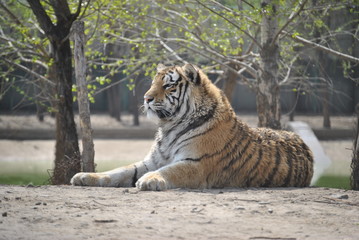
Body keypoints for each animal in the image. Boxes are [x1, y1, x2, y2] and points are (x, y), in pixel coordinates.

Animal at [69, 62, 312, 190]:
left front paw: (149, 180)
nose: (146, 98)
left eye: (168, 86)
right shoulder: (150, 161)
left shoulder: (197, 163)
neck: (168, 128)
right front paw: (84, 176)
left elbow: (171, 170)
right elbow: (119, 171)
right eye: (153, 83)